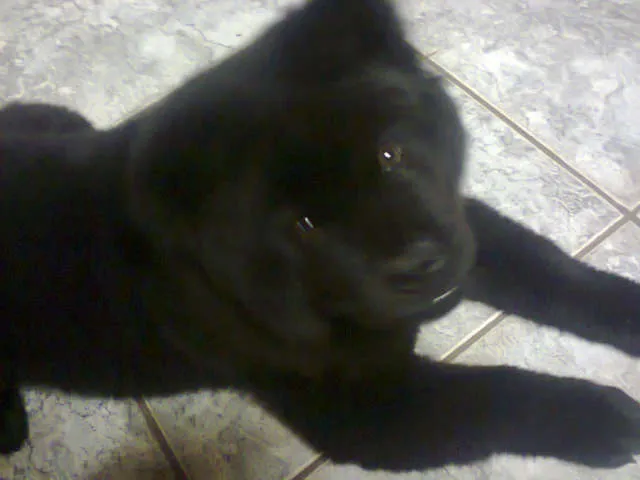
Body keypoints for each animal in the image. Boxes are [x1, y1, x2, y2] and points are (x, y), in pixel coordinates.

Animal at [1, 0, 640, 472]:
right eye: (304, 226)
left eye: (390, 153)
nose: (418, 263)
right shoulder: (363, 408)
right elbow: (498, 396)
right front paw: (602, 417)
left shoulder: (458, 225)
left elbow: (549, 268)